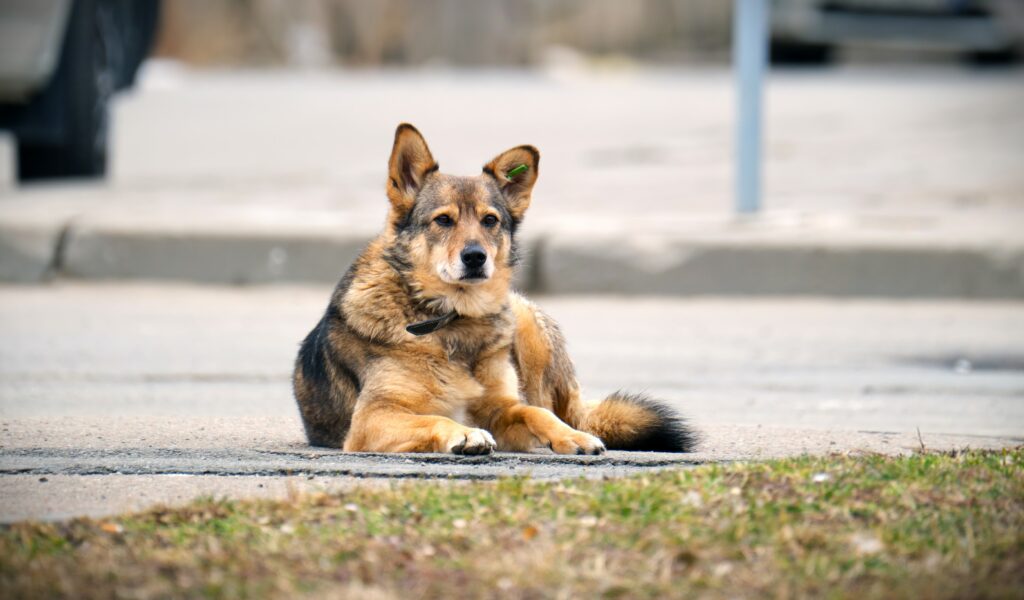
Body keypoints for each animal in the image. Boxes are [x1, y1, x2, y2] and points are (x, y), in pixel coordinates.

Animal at [292, 124, 700, 452]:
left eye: (490, 220)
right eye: (443, 220)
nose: (475, 257)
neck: (451, 319)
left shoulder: (502, 408)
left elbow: (536, 412)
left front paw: (570, 437)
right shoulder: (372, 419)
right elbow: (436, 418)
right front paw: (465, 434)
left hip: (526, 319)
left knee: (557, 407)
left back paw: (577, 427)